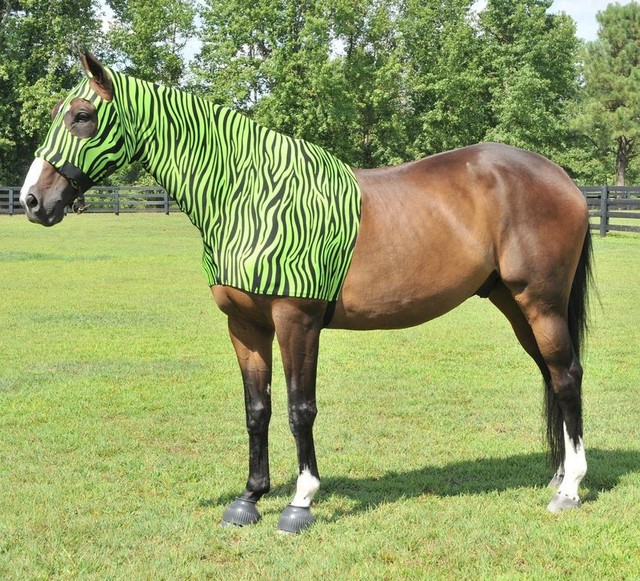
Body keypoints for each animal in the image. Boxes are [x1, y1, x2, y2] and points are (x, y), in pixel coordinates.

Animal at [20, 53, 592, 533]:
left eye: (81, 116)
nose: (31, 200)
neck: (250, 194)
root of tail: (561, 177)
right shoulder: (245, 325)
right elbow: (258, 408)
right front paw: (249, 498)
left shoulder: (296, 320)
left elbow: (300, 409)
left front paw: (300, 502)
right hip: (516, 305)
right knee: (550, 375)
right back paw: (557, 475)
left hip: (540, 303)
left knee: (566, 376)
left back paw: (570, 489)